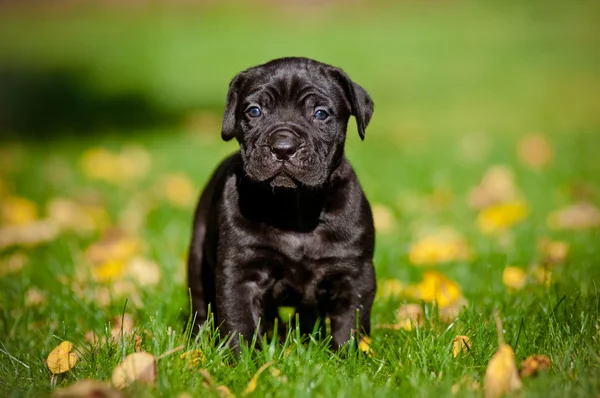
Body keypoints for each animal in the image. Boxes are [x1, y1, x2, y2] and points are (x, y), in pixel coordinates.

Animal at [188, 57, 376, 350]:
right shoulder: (240, 273)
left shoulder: (355, 274)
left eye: (320, 114)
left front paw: (346, 355)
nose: (283, 147)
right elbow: (239, 322)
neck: (295, 206)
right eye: (254, 111)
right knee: (200, 304)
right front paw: (242, 359)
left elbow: (349, 325)